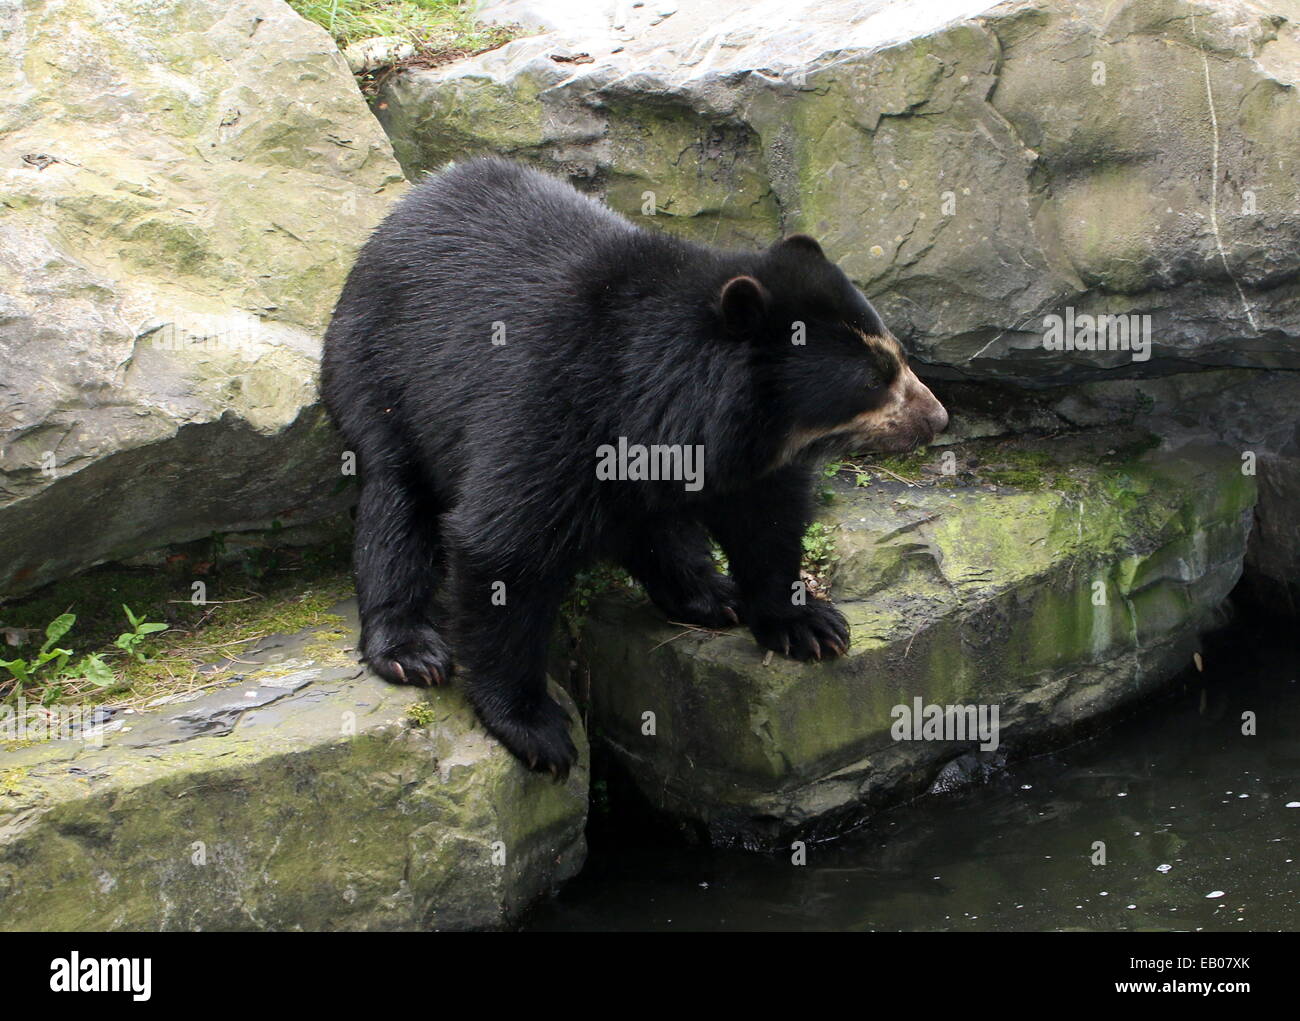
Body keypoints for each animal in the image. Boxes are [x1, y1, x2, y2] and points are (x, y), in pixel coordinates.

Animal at [321, 158, 948, 778]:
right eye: (873, 379)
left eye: (898, 354)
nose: (937, 417)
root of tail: (409, 203)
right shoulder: (555, 402)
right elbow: (501, 546)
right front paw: (536, 729)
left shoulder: (738, 450)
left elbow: (765, 519)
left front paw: (809, 626)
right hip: (377, 371)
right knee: (396, 503)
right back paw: (411, 651)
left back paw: (708, 592)